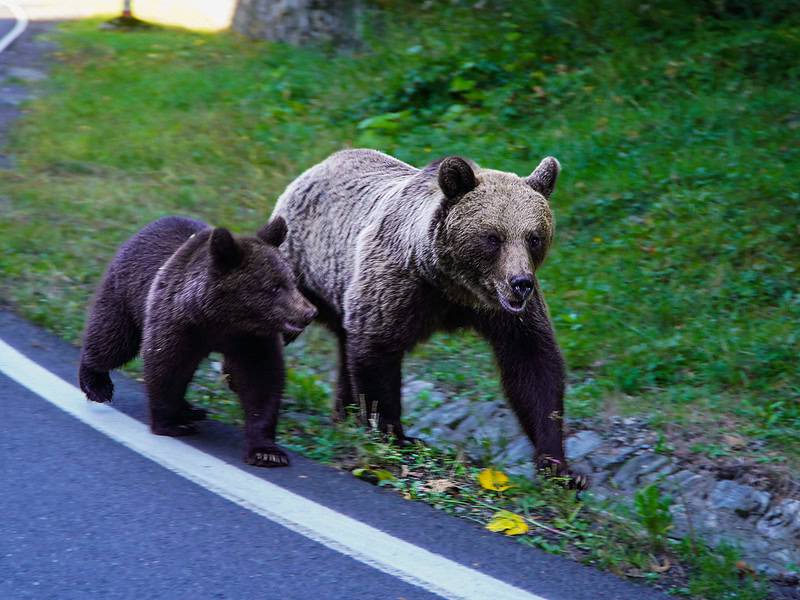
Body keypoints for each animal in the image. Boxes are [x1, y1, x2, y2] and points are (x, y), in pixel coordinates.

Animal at [272, 150, 584, 488]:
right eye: (493, 237)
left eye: (534, 237)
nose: (520, 283)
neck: (453, 286)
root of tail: (319, 165)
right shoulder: (398, 286)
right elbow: (377, 351)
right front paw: (394, 434)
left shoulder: (503, 312)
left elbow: (534, 366)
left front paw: (560, 468)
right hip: (302, 267)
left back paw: (343, 414)